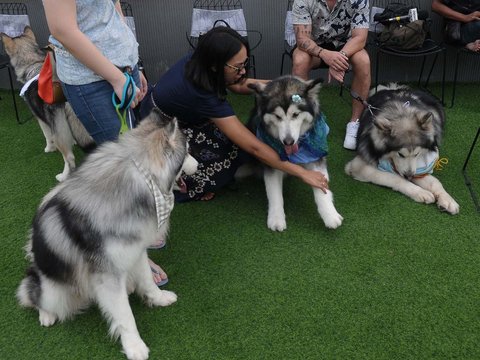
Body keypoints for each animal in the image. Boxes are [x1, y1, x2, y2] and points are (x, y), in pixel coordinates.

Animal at [0, 27, 93, 183]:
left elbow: (47, 136)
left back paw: (63, 176)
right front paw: (74, 141)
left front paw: (49, 149)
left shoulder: (40, 119)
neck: (33, 66)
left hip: (58, 129)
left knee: (69, 158)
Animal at [15, 107, 198, 360]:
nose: (198, 165)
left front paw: (158, 299)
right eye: (188, 151)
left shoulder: (135, 251)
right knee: (33, 296)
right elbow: (125, 315)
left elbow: (147, 280)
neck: (142, 180)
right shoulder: (107, 275)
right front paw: (134, 346)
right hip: (53, 290)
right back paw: (47, 314)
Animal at [344, 84, 460, 214]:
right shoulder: (357, 165)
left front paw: (447, 199)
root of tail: (393, 88)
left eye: (417, 154)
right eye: (400, 154)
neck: (401, 113)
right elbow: (395, 178)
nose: (409, 176)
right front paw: (421, 192)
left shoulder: (418, 169)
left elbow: (434, 181)